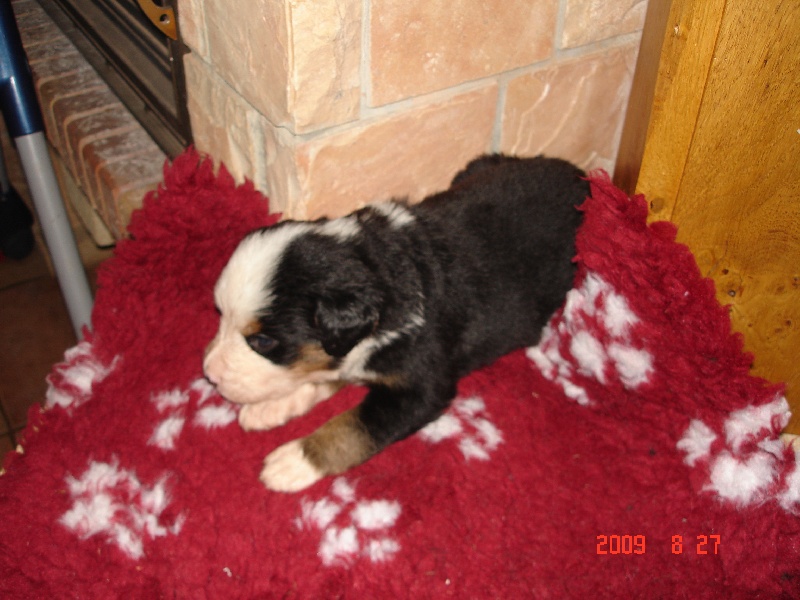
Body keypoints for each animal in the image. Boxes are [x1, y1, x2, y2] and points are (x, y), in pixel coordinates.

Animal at [203, 154, 589, 492]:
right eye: (220, 314)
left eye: (263, 342)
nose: (209, 373)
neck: (384, 274)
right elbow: (325, 375)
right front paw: (270, 407)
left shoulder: (422, 386)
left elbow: (354, 426)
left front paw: (295, 460)